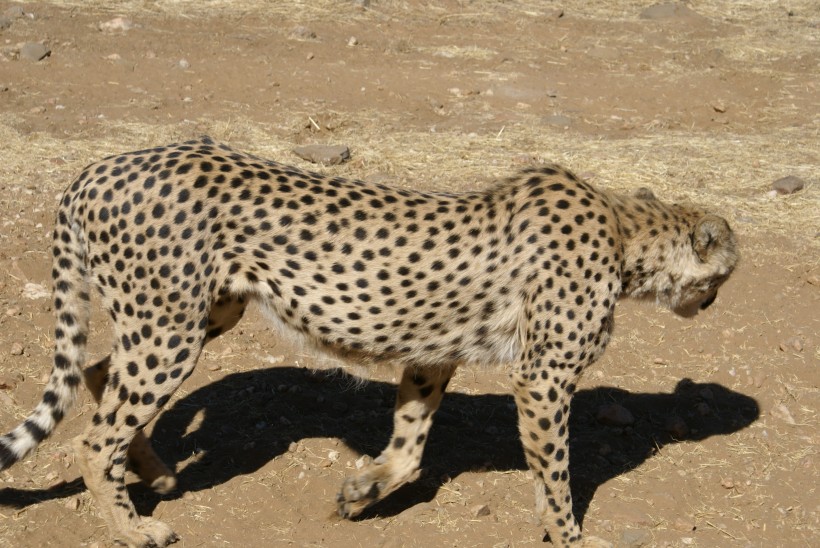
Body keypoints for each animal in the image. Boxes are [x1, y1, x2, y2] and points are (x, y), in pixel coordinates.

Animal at [0, 136, 736, 544]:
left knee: (99, 375)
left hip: (200, 312)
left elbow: (409, 449)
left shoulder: (433, 355)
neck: (626, 229)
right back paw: (132, 528)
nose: (714, 302)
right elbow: (555, 475)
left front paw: (362, 492)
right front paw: (567, 535)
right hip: (170, 327)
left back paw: (154, 472)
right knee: (96, 435)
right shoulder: (543, 379)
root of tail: (96, 169)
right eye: (726, 271)